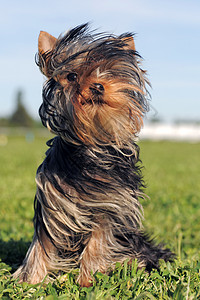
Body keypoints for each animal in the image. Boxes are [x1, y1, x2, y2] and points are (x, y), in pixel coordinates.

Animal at [13, 23, 173, 286]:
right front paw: (31, 281)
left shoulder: (110, 206)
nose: (98, 86)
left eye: (109, 73)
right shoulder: (54, 203)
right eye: (72, 76)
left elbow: (98, 244)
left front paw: (88, 280)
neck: (91, 145)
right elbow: (42, 242)